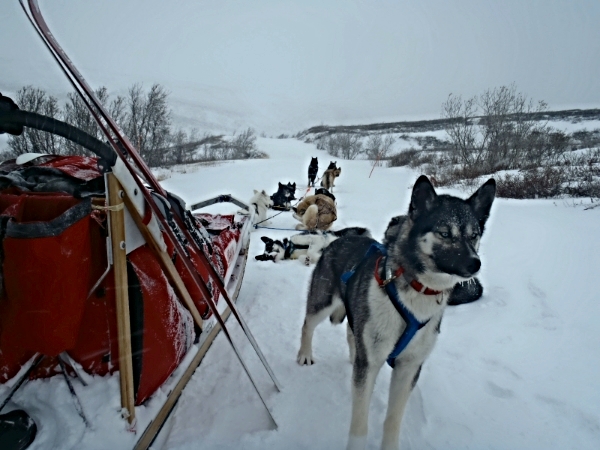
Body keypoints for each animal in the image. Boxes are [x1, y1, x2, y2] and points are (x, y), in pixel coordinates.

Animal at [296, 176, 496, 450]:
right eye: (445, 233)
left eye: (474, 235)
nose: (475, 263)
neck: (417, 292)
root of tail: (338, 238)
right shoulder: (370, 366)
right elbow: (360, 423)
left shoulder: (408, 367)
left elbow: (393, 419)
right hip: (322, 302)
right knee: (308, 324)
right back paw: (305, 354)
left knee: (352, 333)